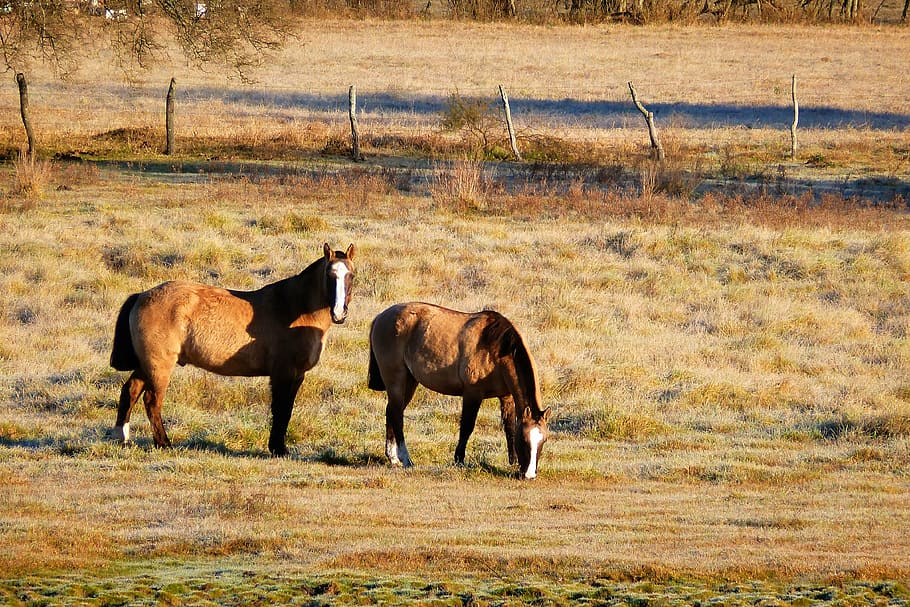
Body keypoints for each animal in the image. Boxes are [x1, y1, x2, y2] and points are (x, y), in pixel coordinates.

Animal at [109, 243, 356, 456]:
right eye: (329, 275)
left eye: (351, 276)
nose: (339, 312)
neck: (293, 308)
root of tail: (142, 295)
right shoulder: (283, 374)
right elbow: (281, 410)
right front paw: (278, 448)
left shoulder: (297, 375)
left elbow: (286, 410)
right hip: (159, 365)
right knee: (151, 401)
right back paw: (164, 443)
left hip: (147, 364)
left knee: (130, 391)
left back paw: (123, 437)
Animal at [368, 302, 551, 479]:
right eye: (525, 440)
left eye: (543, 441)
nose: (529, 475)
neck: (496, 348)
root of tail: (380, 317)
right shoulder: (472, 394)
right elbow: (467, 427)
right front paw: (459, 460)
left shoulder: (506, 397)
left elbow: (509, 428)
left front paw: (512, 462)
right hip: (396, 380)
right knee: (397, 416)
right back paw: (406, 459)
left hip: (410, 381)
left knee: (391, 412)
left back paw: (392, 458)